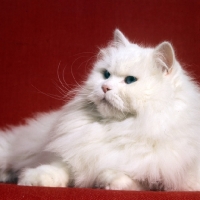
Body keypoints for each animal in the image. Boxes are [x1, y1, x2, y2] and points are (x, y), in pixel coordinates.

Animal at [0, 29, 200, 191]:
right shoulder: (75, 155)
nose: (105, 87)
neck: (118, 127)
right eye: (106, 74)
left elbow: (133, 178)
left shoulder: (171, 176)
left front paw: (106, 180)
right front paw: (31, 180)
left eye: (130, 80)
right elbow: (58, 168)